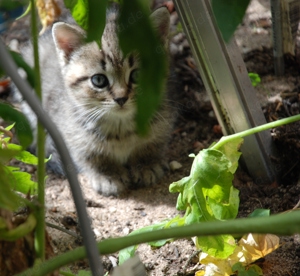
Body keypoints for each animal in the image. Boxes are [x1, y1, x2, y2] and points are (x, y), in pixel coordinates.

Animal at [17, 5, 175, 196]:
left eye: (137, 75)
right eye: (99, 80)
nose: (121, 98)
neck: (120, 130)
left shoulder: (162, 120)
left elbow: (153, 143)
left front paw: (146, 164)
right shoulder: (68, 132)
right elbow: (89, 156)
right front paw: (107, 174)